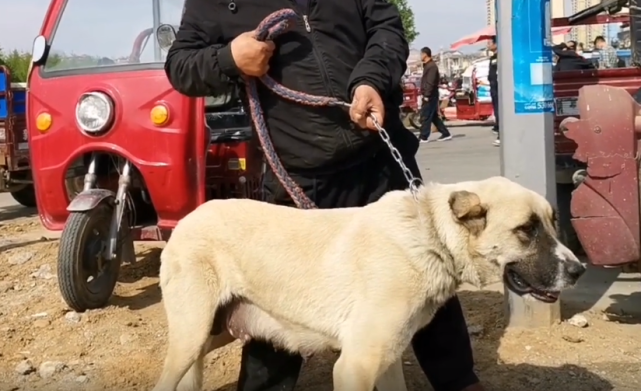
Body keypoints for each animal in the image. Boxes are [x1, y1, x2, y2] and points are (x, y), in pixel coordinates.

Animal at [151, 178, 584, 391]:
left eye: (552, 222)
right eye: (527, 230)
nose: (579, 270)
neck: (429, 235)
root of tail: (188, 219)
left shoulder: (387, 360)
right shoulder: (354, 367)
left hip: (211, 334)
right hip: (191, 336)